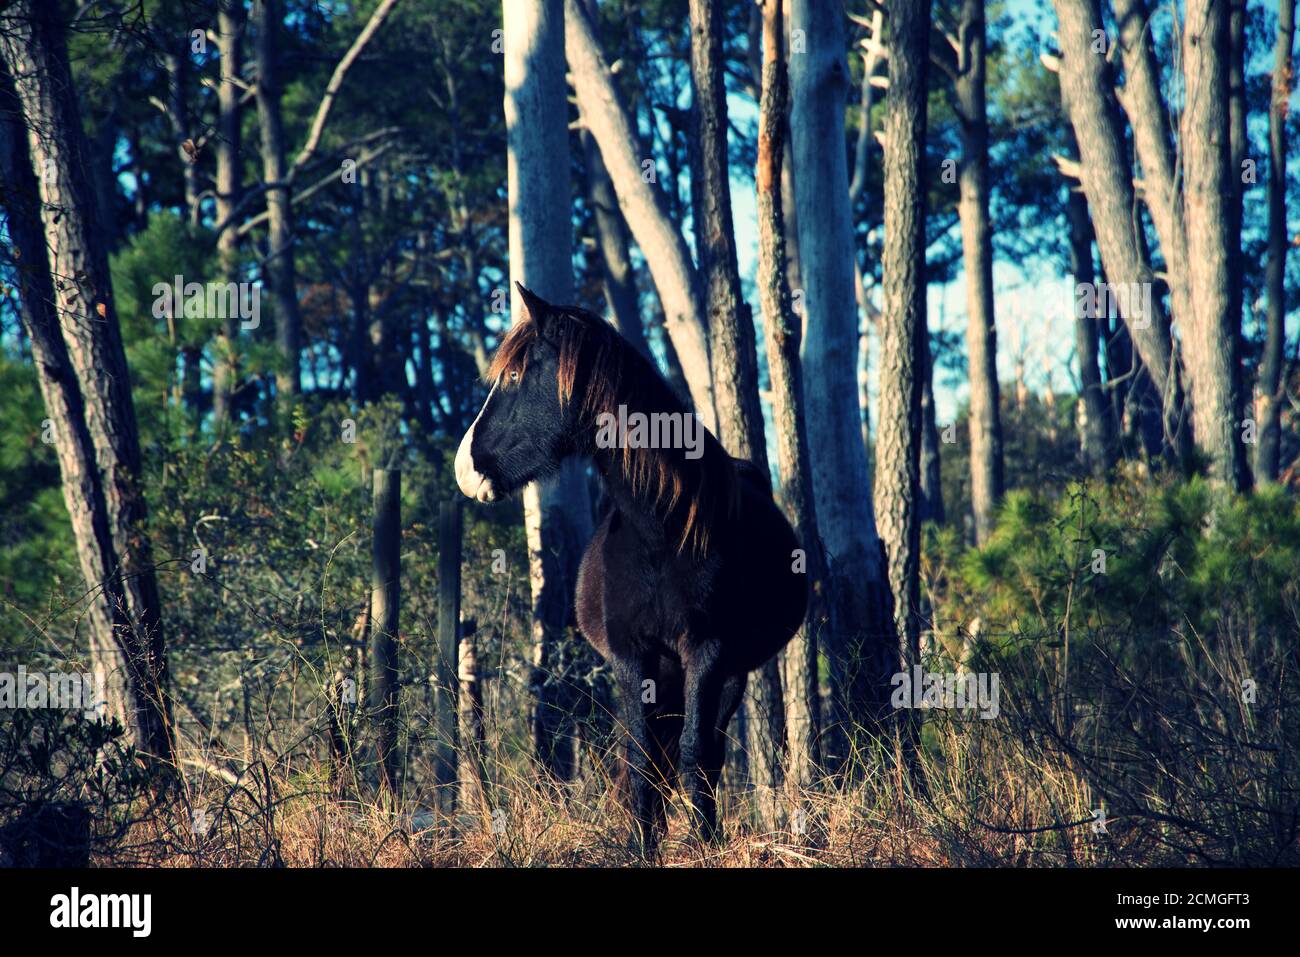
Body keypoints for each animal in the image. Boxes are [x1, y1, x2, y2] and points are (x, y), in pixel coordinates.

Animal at [452, 282, 806, 842]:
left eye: (512, 376)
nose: (466, 469)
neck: (662, 532)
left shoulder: (707, 652)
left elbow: (695, 754)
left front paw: (702, 843)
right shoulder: (631, 654)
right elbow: (643, 760)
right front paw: (642, 846)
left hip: (725, 675)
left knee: (705, 749)